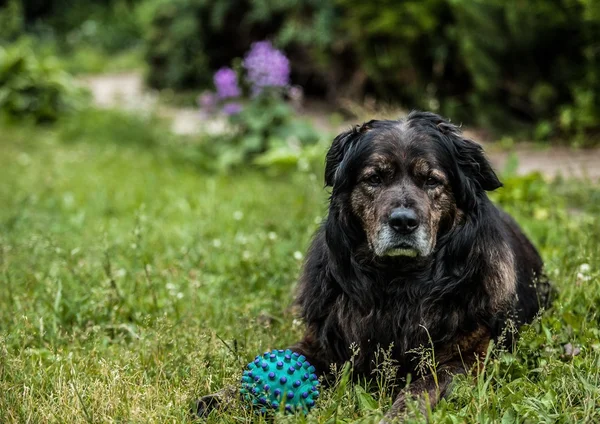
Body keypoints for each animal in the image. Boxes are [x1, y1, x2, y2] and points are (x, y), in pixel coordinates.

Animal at [198, 112, 552, 420]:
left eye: (431, 181)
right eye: (375, 178)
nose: (403, 222)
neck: (397, 282)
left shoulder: (469, 358)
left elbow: (421, 387)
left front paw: (400, 415)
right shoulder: (326, 342)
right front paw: (222, 398)